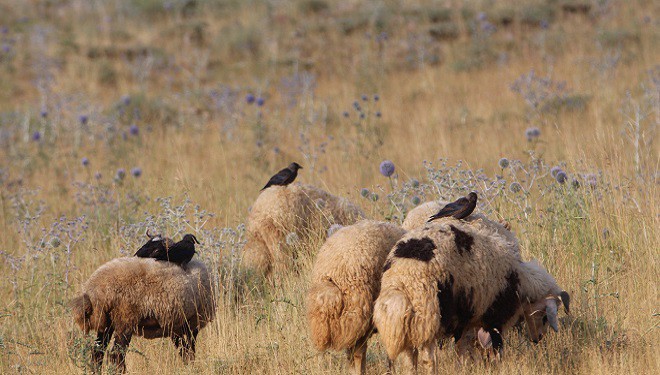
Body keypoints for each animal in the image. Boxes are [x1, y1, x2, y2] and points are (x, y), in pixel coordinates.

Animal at [72, 258, 217, 374]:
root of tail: (94, 290)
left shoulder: (177, 329)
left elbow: (184, 352)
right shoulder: (191, 326)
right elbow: (189, 352)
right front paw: (191, 368)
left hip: (108, 324)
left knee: (98, 353)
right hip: (125, 320)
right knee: (116, 354)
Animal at [374, 219, 568, 374]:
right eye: (544, 317)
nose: (538, 339)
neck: (521, 281)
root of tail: (402, 280)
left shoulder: (467, 321)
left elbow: (463, 351)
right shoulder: (494, 320)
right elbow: (496, 351)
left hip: (409, 323)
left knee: (409, 360)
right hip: (428, 316)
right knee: (428, 359)